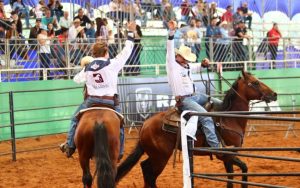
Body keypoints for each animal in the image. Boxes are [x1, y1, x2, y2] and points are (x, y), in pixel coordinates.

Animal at [115, 70, 276, 188]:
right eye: (255, 82)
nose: (274, 94)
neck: (229, 118)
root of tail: (145, 125)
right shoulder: (226, 154)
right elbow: (243, 169)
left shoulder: (229, 155)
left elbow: (231, 176)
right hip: (160, 157)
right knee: (149, 173)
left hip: (156, 156)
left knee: (145, 169)